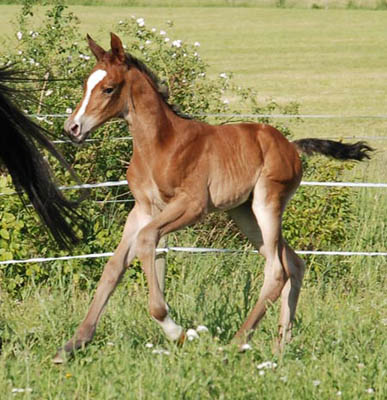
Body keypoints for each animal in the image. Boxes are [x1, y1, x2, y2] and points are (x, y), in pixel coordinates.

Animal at [53, 32, 372, 360]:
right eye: (85, 84)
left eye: (108, 88)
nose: (72, 128)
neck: (161, 145)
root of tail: (292, 147)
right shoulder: (143, 209)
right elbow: (114, 266)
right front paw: (72, 344)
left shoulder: (191, 206)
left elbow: (146, 239)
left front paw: (175, 330)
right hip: (244, 213)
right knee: (294, 263)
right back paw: (280, 347)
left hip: (267, 203)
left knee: (277, 270)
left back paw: (236, 343)